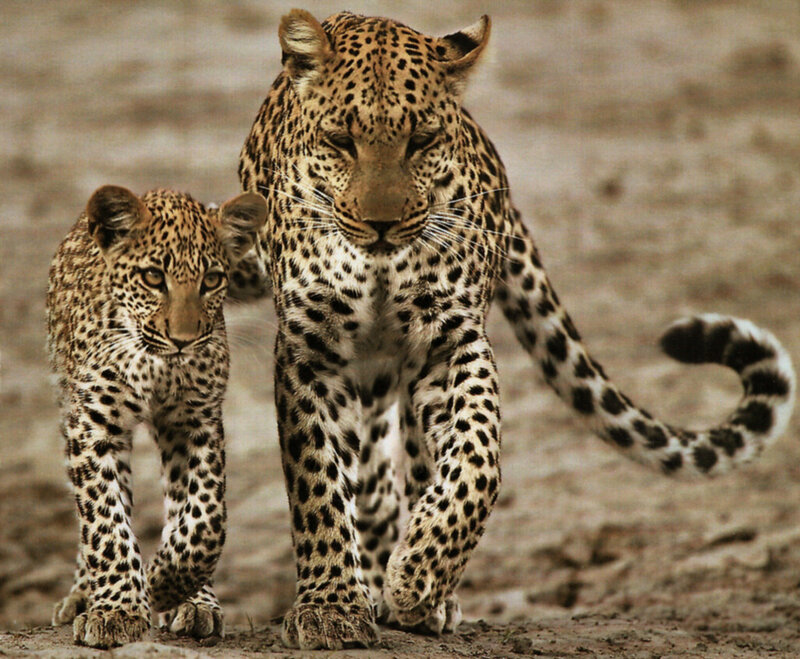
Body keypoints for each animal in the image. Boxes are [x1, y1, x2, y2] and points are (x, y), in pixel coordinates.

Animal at [47, 185, 266, 648]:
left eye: (212, 281)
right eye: (152, 278)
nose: (183, 340)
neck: (156, 365)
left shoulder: (195, 422)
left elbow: (205, 517)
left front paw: (166, 585)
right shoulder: (93, 424)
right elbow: (105, 521)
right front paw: (118, 609)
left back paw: (196, 602)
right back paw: (82, 594)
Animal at [235, 9, 796, 649]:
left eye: (421, 141)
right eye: (340, 142)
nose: (380, 225)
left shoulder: (450, 343)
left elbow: (477, 462)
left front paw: (418, 576)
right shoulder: (312, 352)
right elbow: (317, 483)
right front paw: (330, 606)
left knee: (412, 468)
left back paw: (419, 591)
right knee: (371, 478)